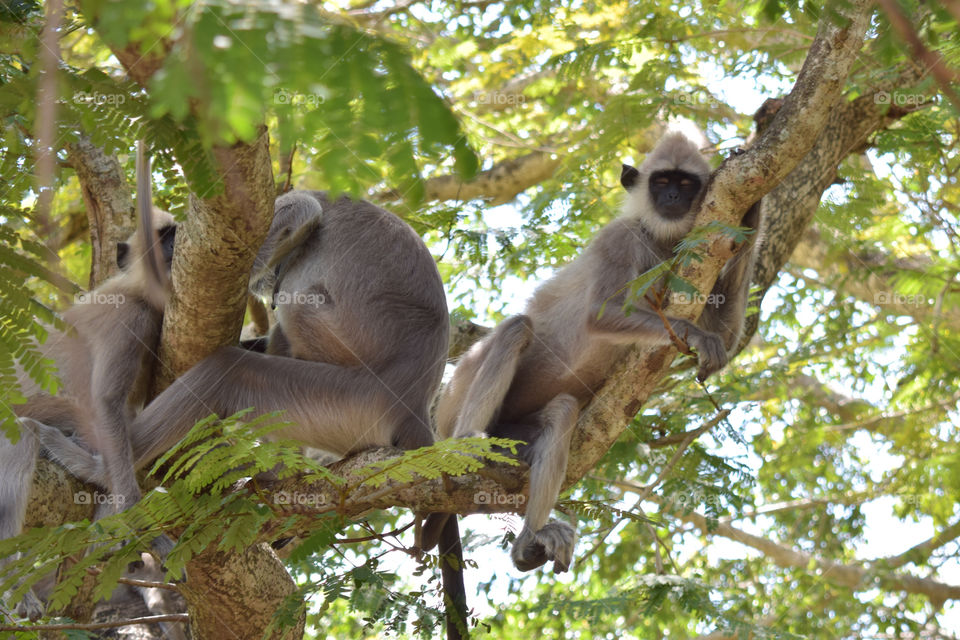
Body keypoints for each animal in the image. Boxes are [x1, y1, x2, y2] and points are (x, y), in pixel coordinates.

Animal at [424, 127, 760, 572]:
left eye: (686, 184)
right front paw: (695, 335)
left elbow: (727, 333)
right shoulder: (618, 239)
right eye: (661, 182)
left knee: (562, 411)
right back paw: (469, 441)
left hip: (513, 432)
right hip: (456, 399)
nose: (673, 198)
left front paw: (754, 211)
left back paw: (528, 537)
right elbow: (598, 317)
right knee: (516, 328)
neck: (657, 238)